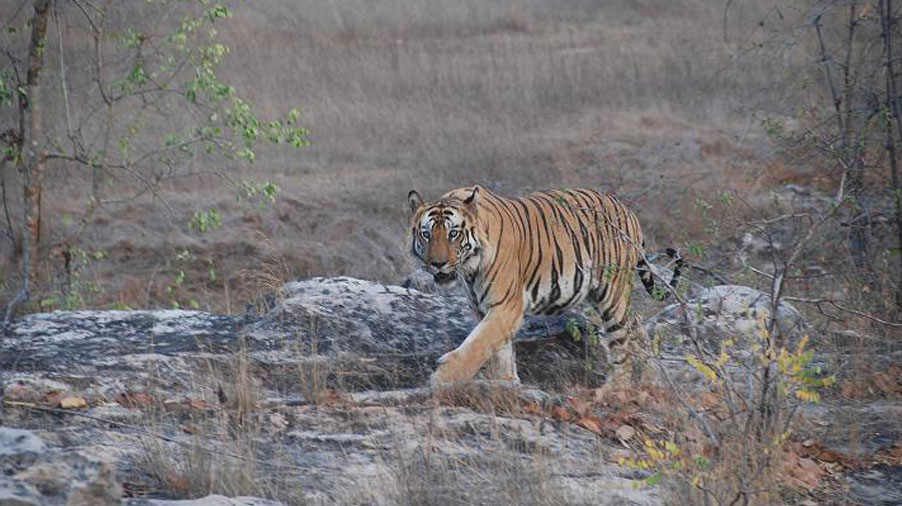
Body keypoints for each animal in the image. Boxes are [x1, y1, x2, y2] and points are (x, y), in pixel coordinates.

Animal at [406, 184, 680, 386]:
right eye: (426, 234)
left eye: (453, 234)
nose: (438, 264)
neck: (470, 270)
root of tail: (628, 211)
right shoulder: (483, 309)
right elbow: (498, 349)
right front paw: (506, 382)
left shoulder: (506, 306)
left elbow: (478, 344)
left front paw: (442, 378)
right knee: (637, 325)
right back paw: (653, 379)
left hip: (611, 294)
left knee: (621, 343)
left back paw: (616, 391)